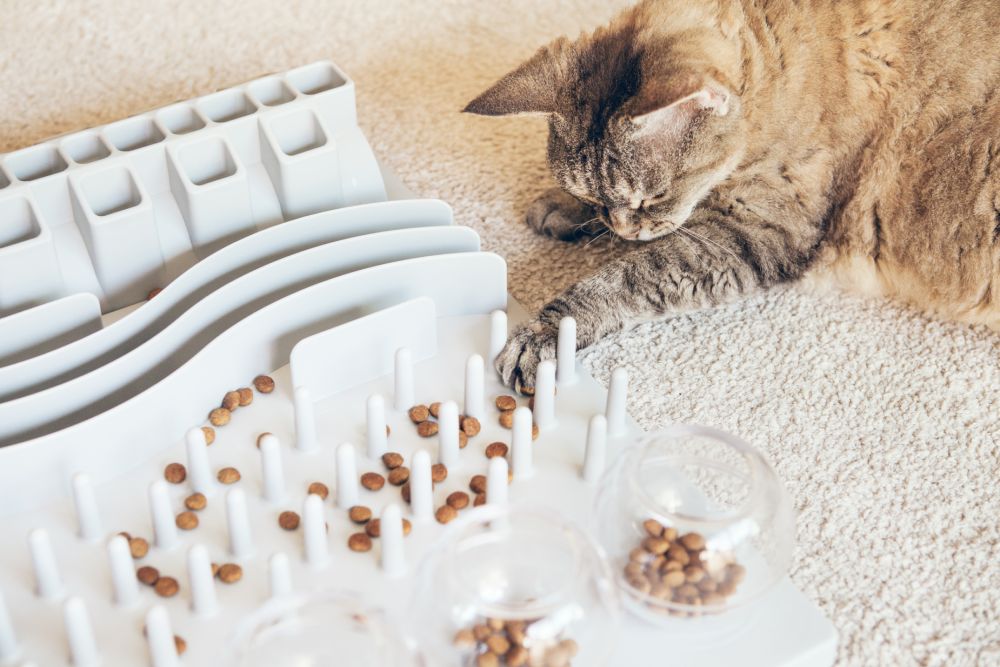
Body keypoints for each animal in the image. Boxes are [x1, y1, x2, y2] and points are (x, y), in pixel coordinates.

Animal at [464, 0, 1000, 392]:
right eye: (598, 199)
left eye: (651, 198)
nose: (624, 227)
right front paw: (563, 207)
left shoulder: (754, 233)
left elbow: (627, 277)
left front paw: (544, 333)